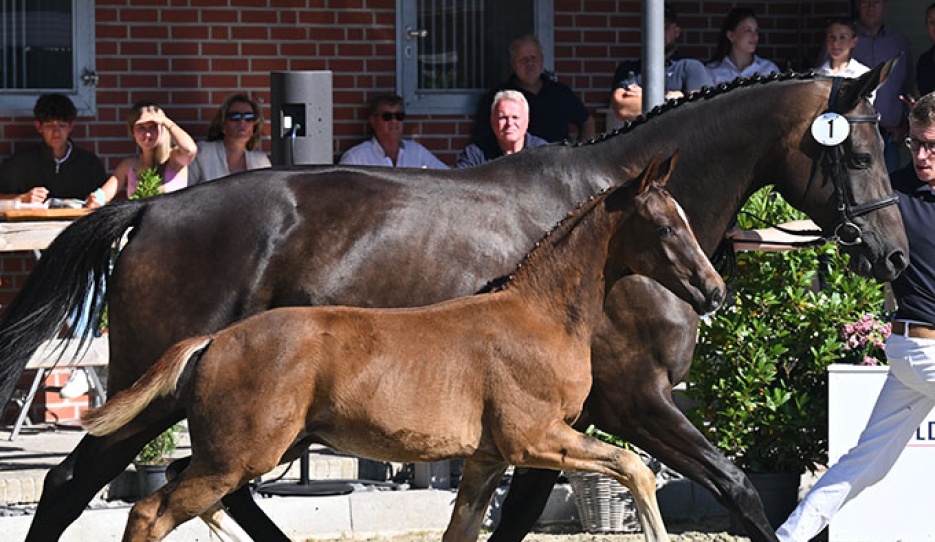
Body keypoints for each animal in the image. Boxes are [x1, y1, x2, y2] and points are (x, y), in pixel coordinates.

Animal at [80, 154, 724, 542]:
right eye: (666, 227)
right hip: (240, 457)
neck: (538, 314)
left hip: (245, 454)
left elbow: (461, 531)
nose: (713, 289)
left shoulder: (488, 458)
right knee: (150, 509)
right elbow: (635, 467)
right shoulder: (537, 438)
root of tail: (215, 339)